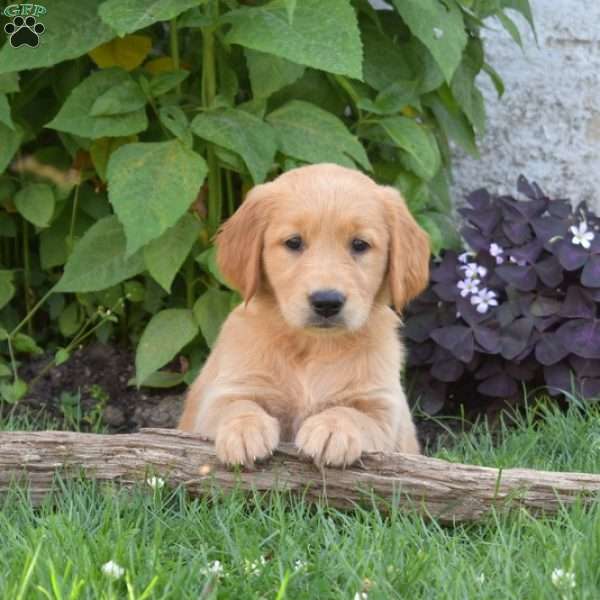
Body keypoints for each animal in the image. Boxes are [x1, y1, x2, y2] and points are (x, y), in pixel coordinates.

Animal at [178, 164, 432, 468]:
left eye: (360, 244)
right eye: (294, 242)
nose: (327, 302)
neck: (313, 346)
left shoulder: (383, 411)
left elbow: (353, 413)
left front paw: (332, 429)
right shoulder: (226, 391)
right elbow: (237, 405)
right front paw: (243, 430)